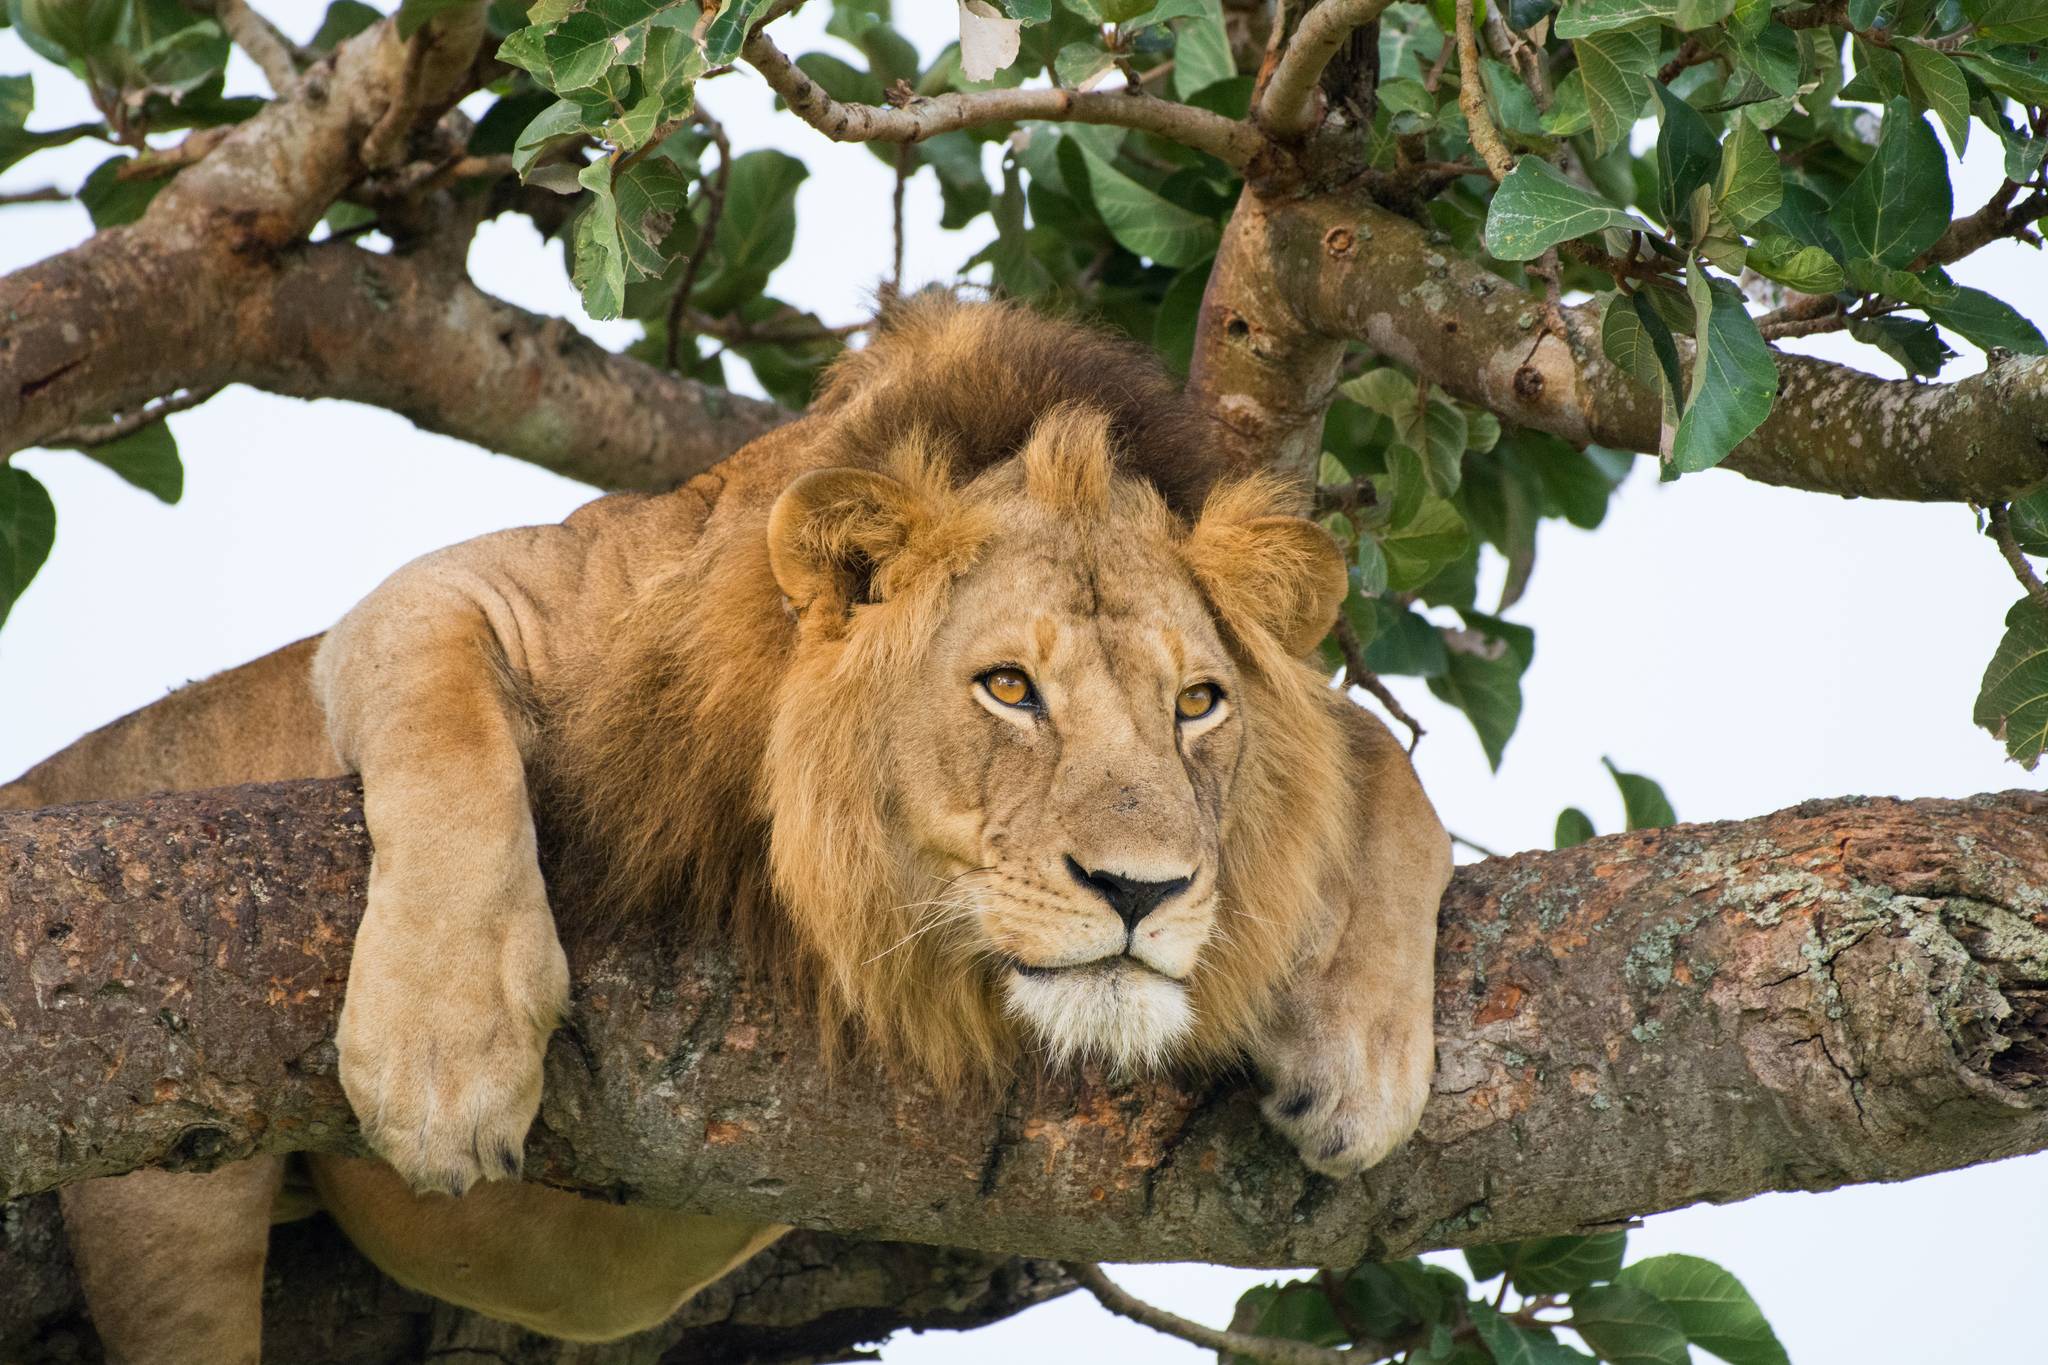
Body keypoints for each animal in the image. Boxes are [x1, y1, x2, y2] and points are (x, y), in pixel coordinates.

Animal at [0, 300, 1449, 1365]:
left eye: (1197, 704)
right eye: (1007, 689)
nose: (1141, 890)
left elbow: (1378, 753)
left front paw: (1360, 1055)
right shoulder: (465, 595)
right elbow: (445, 736)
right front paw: (444, 1059)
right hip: (169, 1208)